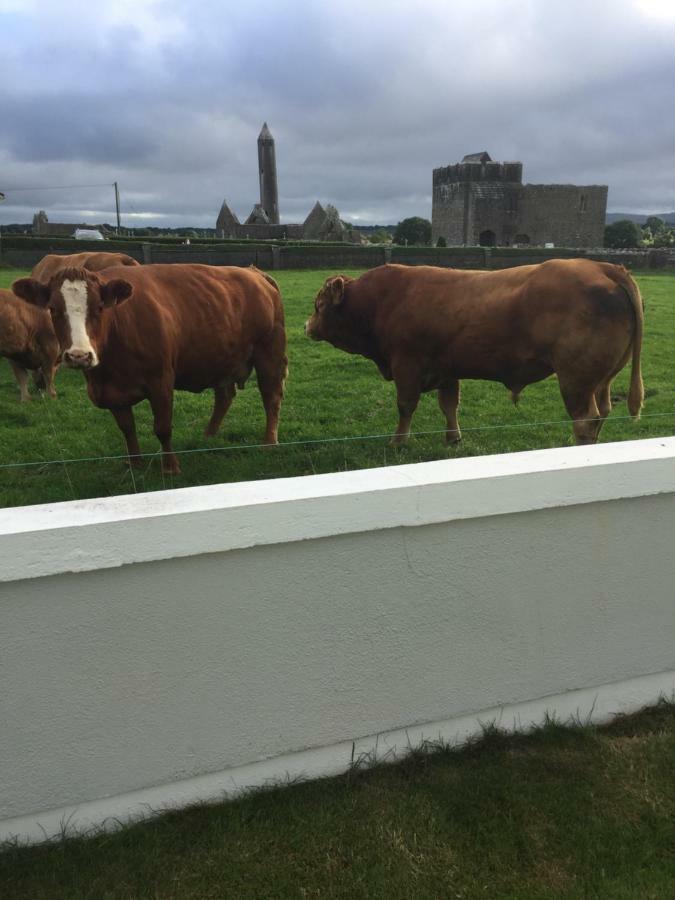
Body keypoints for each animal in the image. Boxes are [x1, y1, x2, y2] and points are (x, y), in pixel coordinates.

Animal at [13, 262, 288, 472]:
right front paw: (135, 464)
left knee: (271, 396)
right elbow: (127, 429)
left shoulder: (161, 382)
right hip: (220, 358)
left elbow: (163, 428)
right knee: (225, 396)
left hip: (269, 354)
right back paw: (208, 435)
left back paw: (269, 441)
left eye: (99, 307)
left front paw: (170, 468)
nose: (79, 356)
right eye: (53, 309)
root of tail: (254, 272)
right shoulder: (112, 393)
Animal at [304, 258, 644, 444]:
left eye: (318, 304)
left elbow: (405, 406)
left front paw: (398, 441)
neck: (381, 301)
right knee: (602, 414)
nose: (307, 325)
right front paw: (453, 438)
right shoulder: (446, 369)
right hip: (601, 380)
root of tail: (602, 267)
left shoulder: (406, 365)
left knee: (585, 420)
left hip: (576, 380)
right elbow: (449, 405)